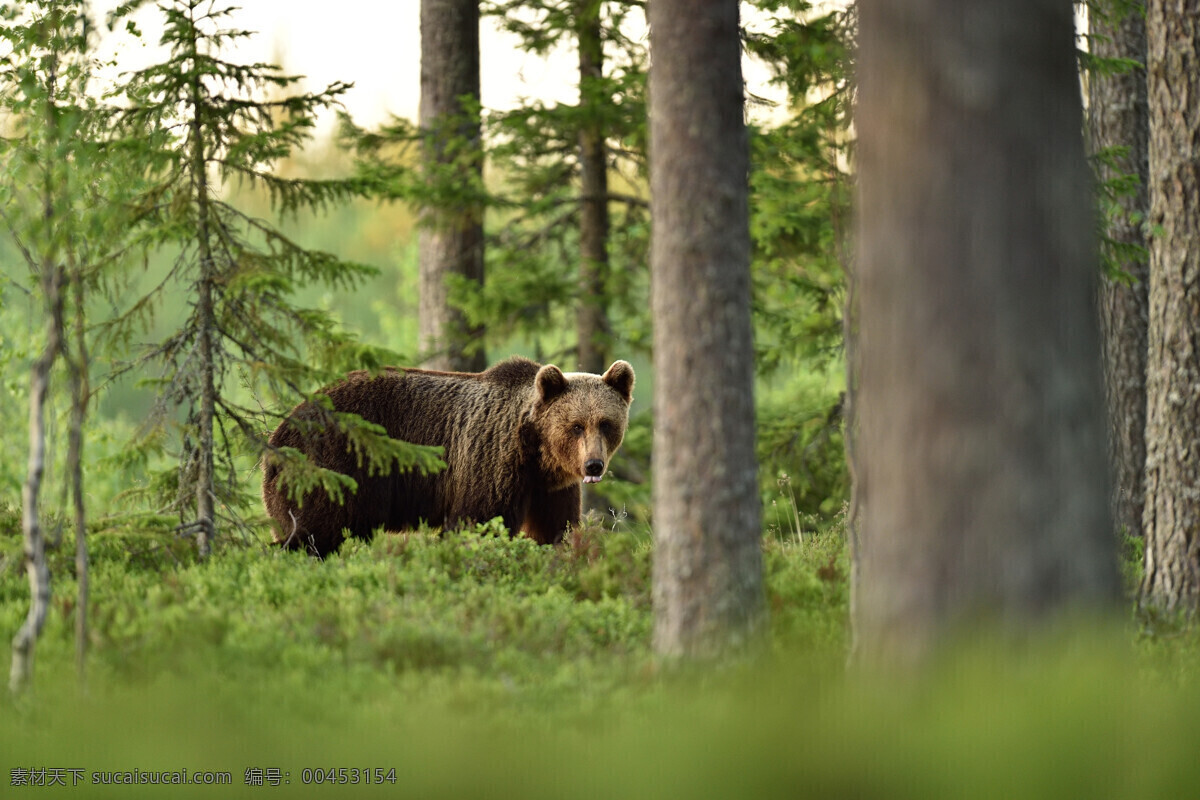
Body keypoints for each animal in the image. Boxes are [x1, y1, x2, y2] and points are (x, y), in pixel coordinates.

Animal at [262, 357, 638, 556]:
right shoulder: (490, 460)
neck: (536, 453)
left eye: (606, 423)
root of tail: (279, 431)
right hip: (333, 467)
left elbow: (554, 529)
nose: (593, 464)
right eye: (576, 425)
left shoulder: (550, 489)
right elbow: (477, 522)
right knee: (315, 532)